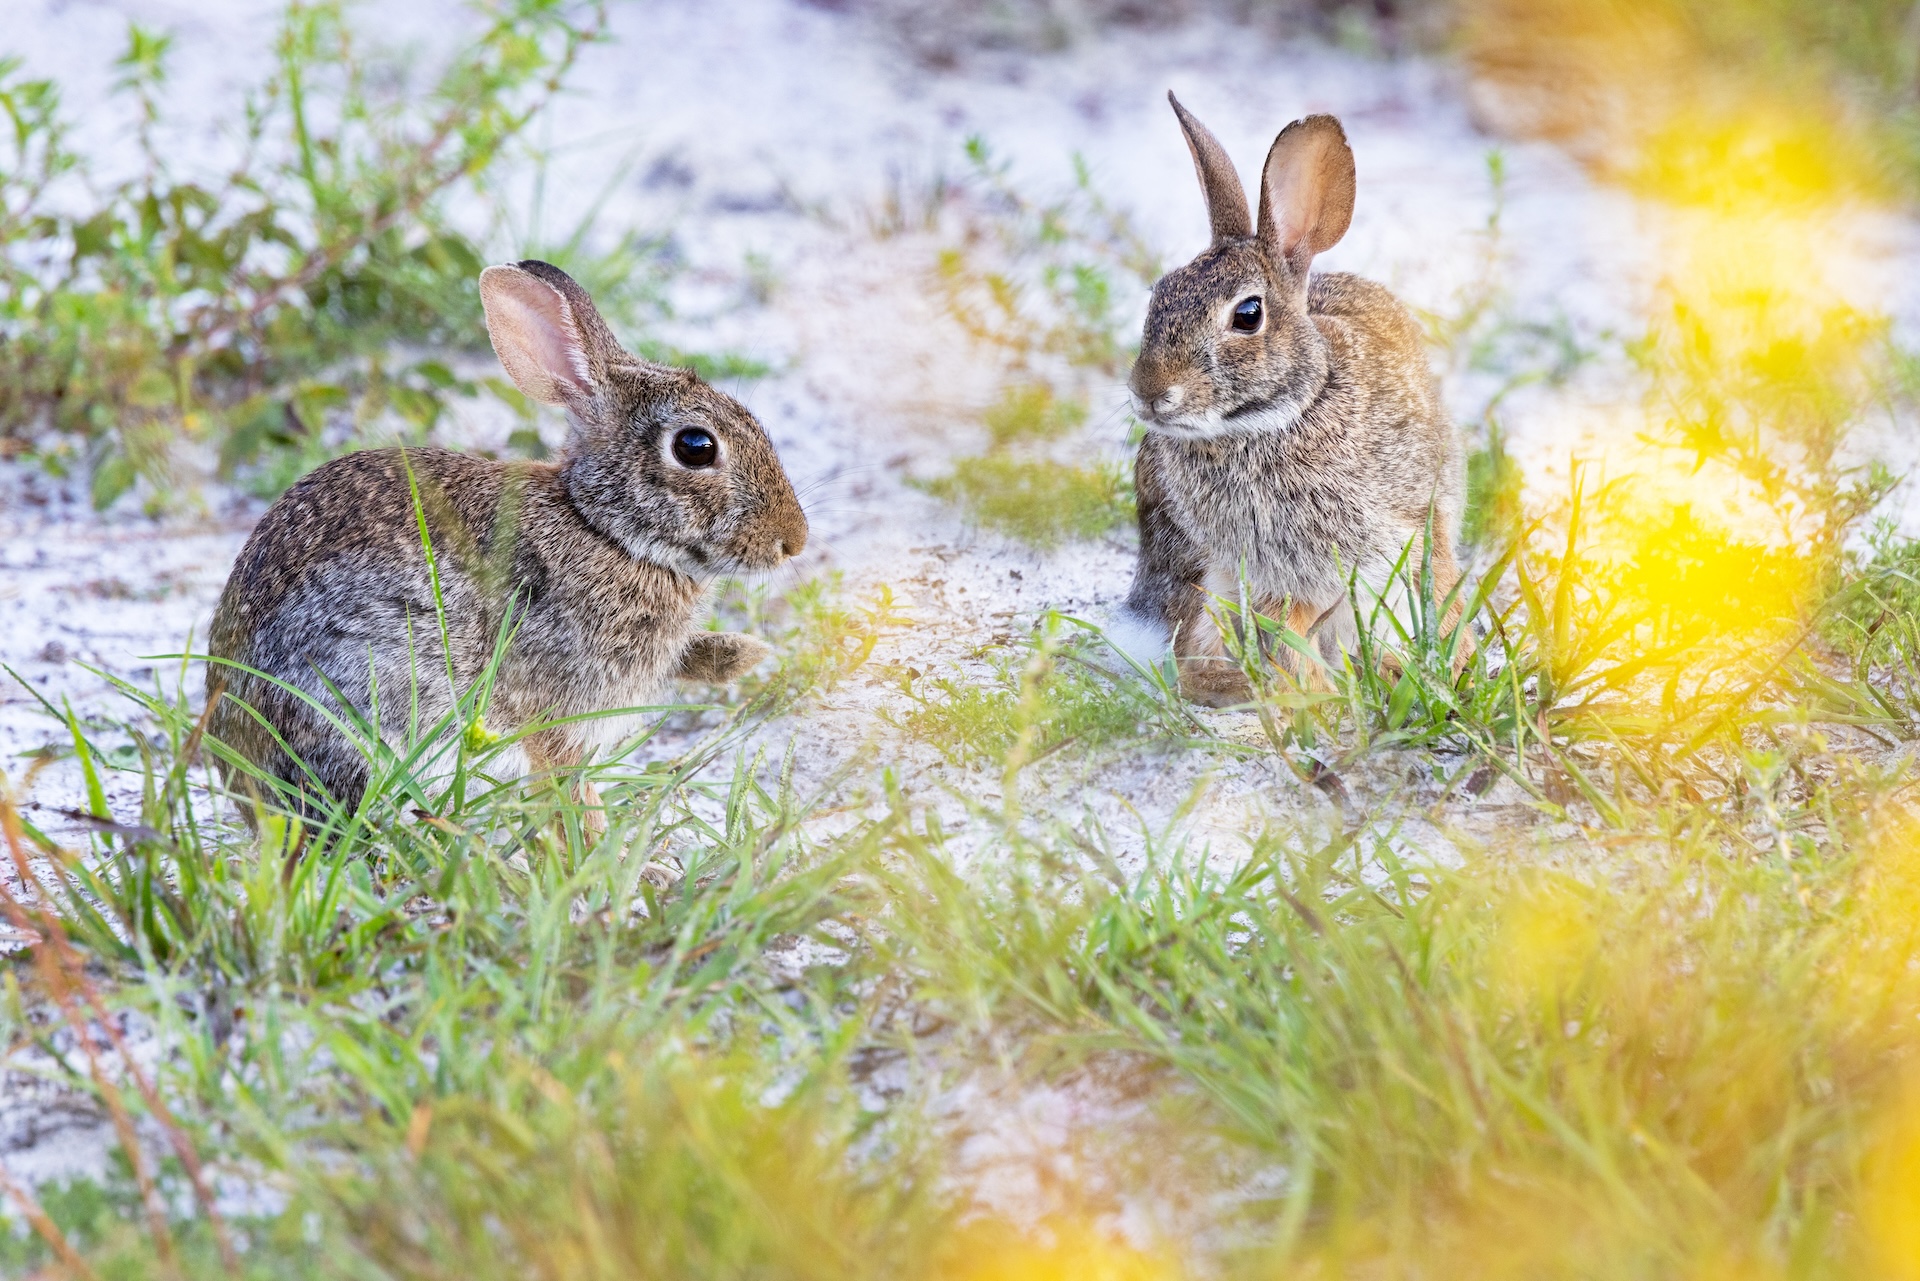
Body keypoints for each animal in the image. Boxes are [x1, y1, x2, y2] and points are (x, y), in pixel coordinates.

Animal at [205, 259, 808, 825]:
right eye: (695, 446)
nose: (793, 541)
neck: (601, 527)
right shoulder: (556, 711)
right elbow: (568, 785)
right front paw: (593, 842)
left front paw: (746, 654)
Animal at [1116, 93, 1470, 707]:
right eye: (1158, 294)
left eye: (1247, 314)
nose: (1149, 392)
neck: (1281, 416)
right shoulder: (1265, 575)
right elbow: (1285, 637)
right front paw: (1316, 697)